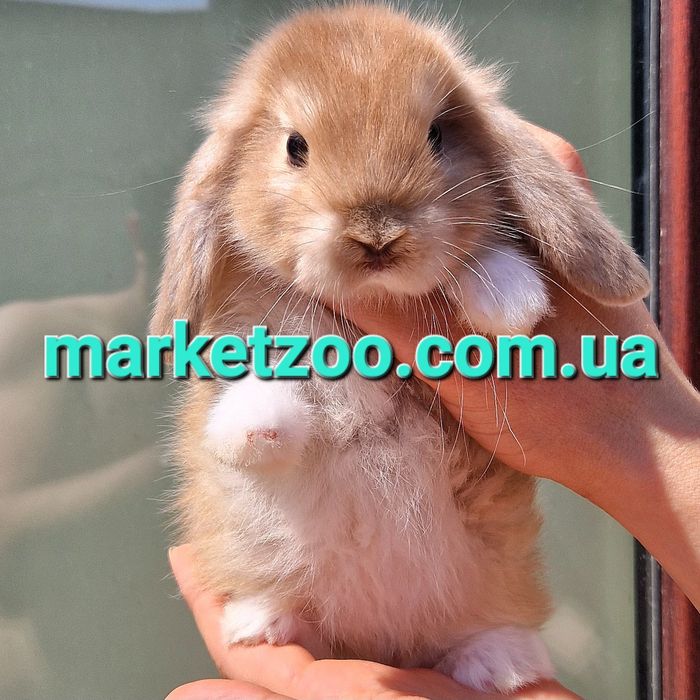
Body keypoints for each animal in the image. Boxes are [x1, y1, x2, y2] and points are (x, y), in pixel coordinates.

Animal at [151, 4, 650, 693]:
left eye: (438, 134)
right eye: (294, 146)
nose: (377, 234)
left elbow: (484, 253)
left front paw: (510, 300)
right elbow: (260, 395)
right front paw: (254, 429)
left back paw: (502, 665)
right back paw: (262, 622)